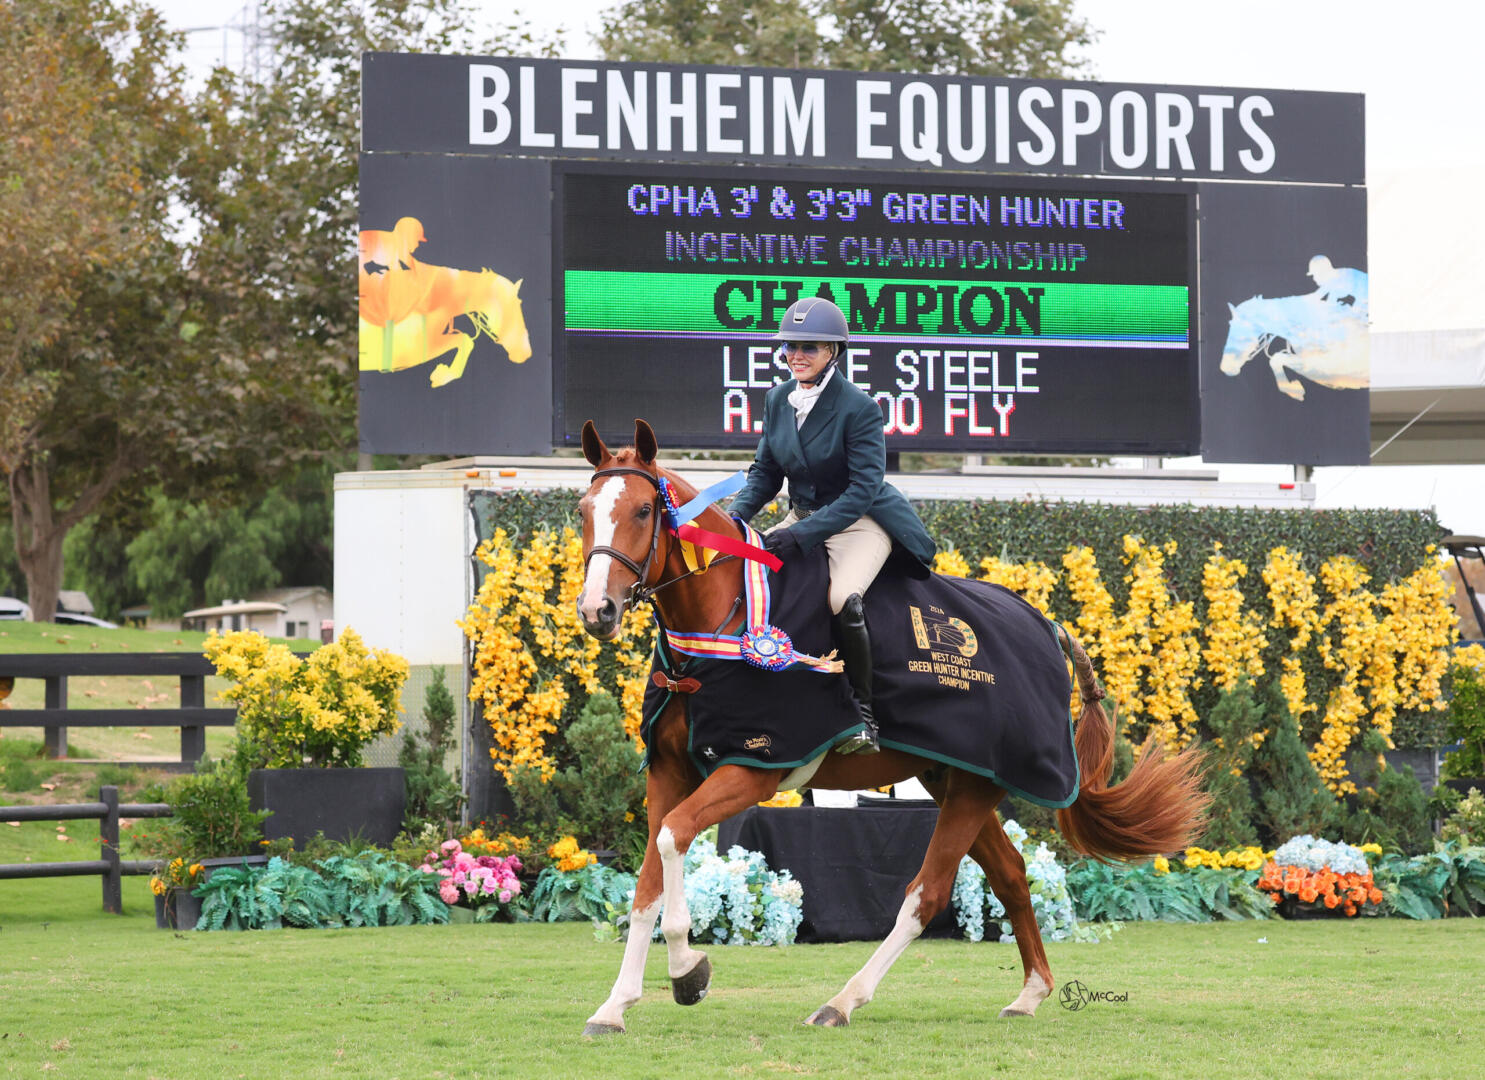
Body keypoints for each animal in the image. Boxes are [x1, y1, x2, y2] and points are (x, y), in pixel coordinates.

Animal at [567, 418, 1205, 1033]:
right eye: (582, 511)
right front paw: (614, 1007)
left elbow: (672, 838)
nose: (598, 611)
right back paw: (1030, 994)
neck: (724, 621)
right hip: (958, 778)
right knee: (1011, 875)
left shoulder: (754, 768)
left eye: (643, 511)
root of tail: (1047, 626)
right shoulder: (669, 771)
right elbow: (647, 884)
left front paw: (688, 972)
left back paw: (841, 1003)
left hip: (975, 785)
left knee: (927, 894)